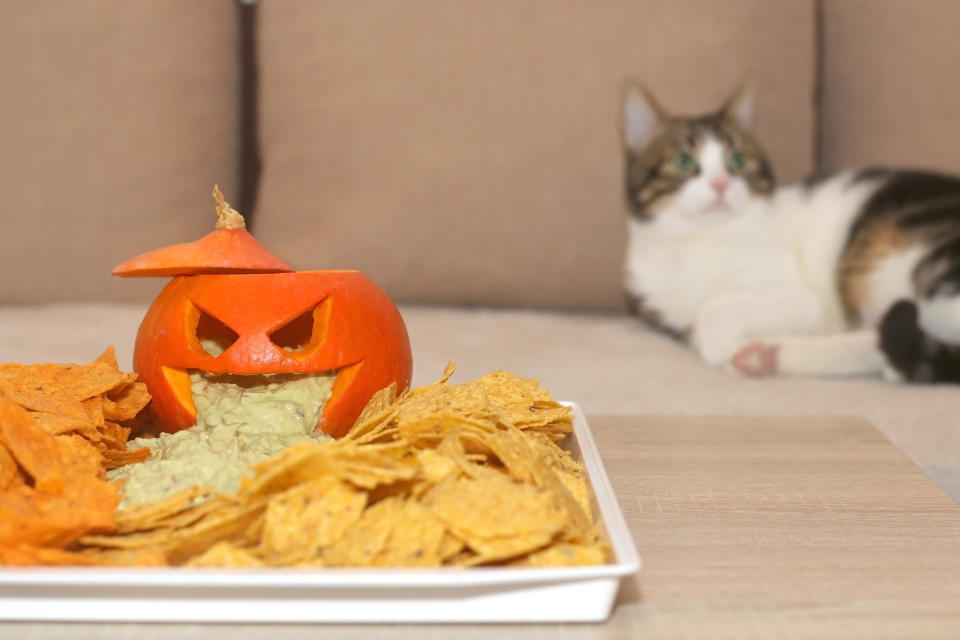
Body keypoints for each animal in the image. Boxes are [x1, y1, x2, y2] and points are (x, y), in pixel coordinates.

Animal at [620, 80, 960, 380]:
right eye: (684, 161)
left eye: (737, 161)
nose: (721, 184)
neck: (698, 241)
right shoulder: (662, 310)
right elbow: (692, 326)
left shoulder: (806, 299)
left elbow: (713, 312)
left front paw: (721, 345)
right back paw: (769, 355)